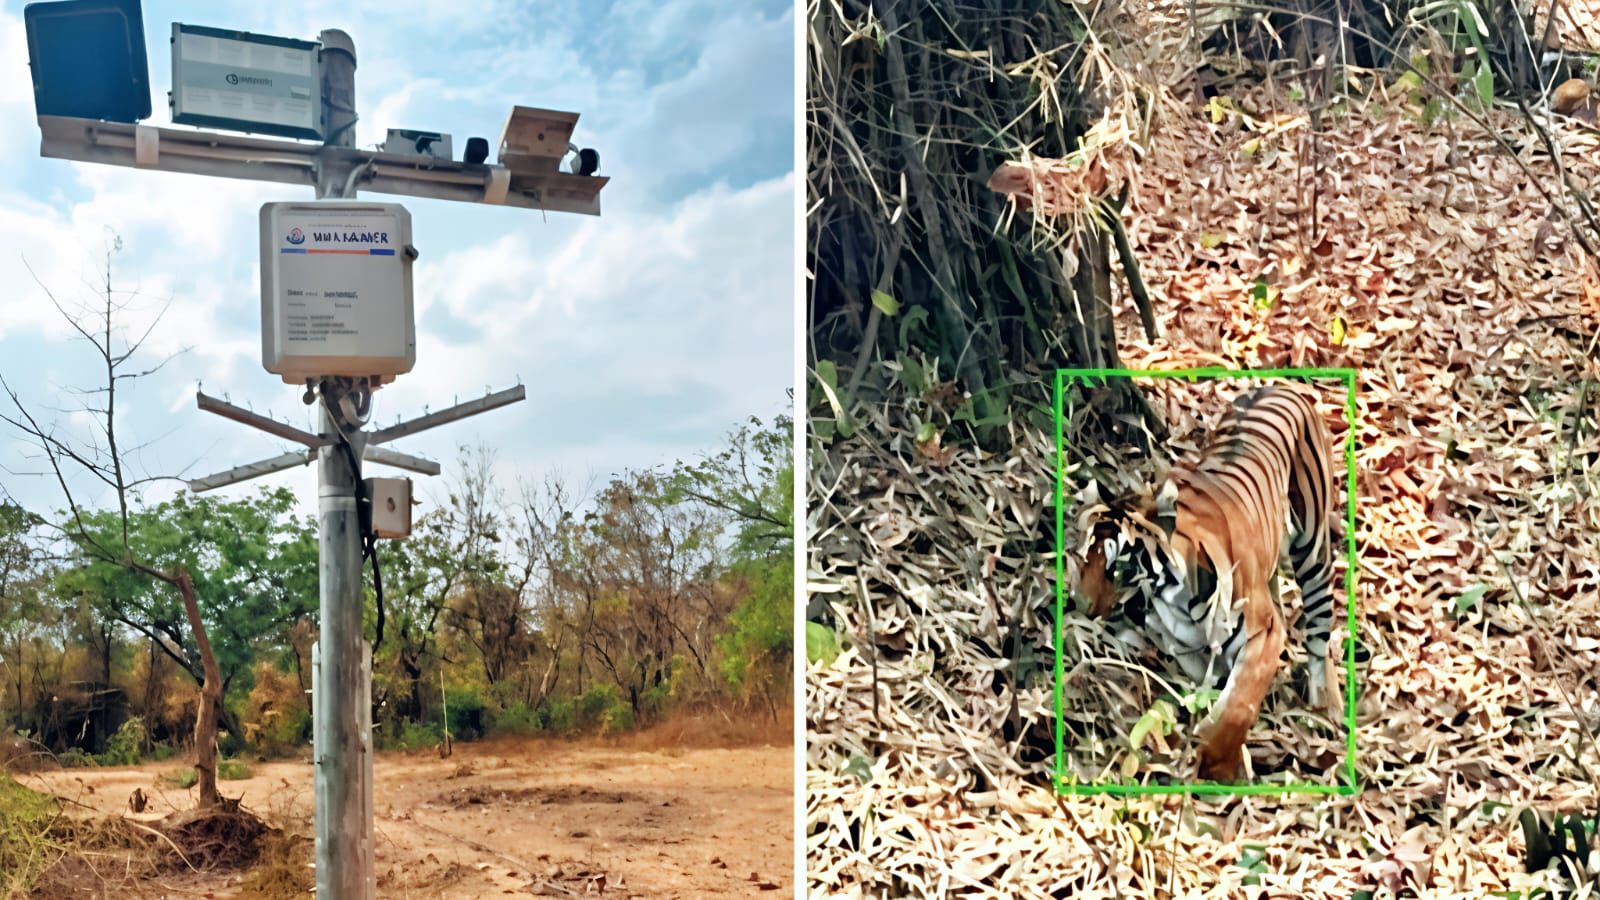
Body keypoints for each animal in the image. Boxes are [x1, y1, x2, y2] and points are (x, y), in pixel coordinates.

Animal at [1074, 382, 1339, 780]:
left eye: (1117, 568)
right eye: (1080, 559)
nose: (1079, 608)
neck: (1176, 602)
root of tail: (1277, 385)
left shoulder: (1264, 631)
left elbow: (1239, 702)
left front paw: (1217, 763)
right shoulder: (1189, 652)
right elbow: (1212, 694)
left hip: (1312, 547)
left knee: (1321, 629)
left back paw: (1325, 706)